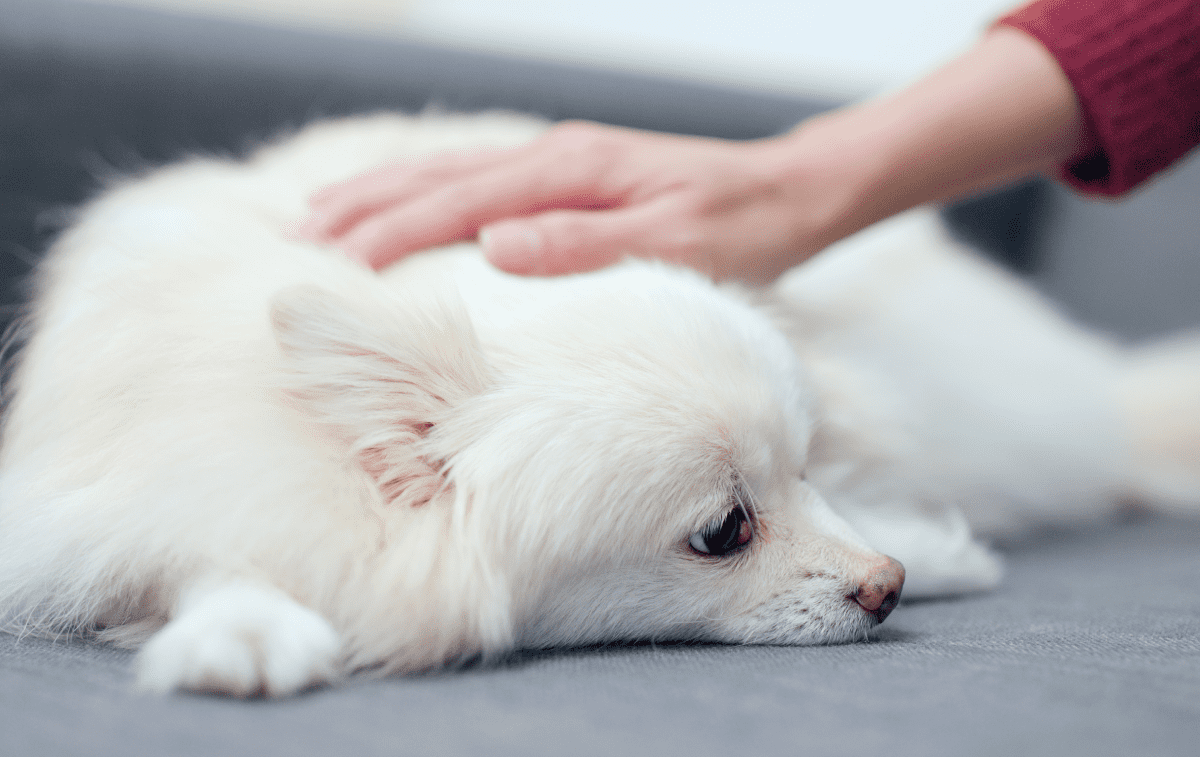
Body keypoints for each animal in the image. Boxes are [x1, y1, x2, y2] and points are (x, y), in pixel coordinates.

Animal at [0, 112, 1195, 700]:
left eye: (803, 466)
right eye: (724, 530)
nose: (886, 585)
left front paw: (936, 549)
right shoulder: (121, 492)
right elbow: (194, 553)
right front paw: (238, 625)